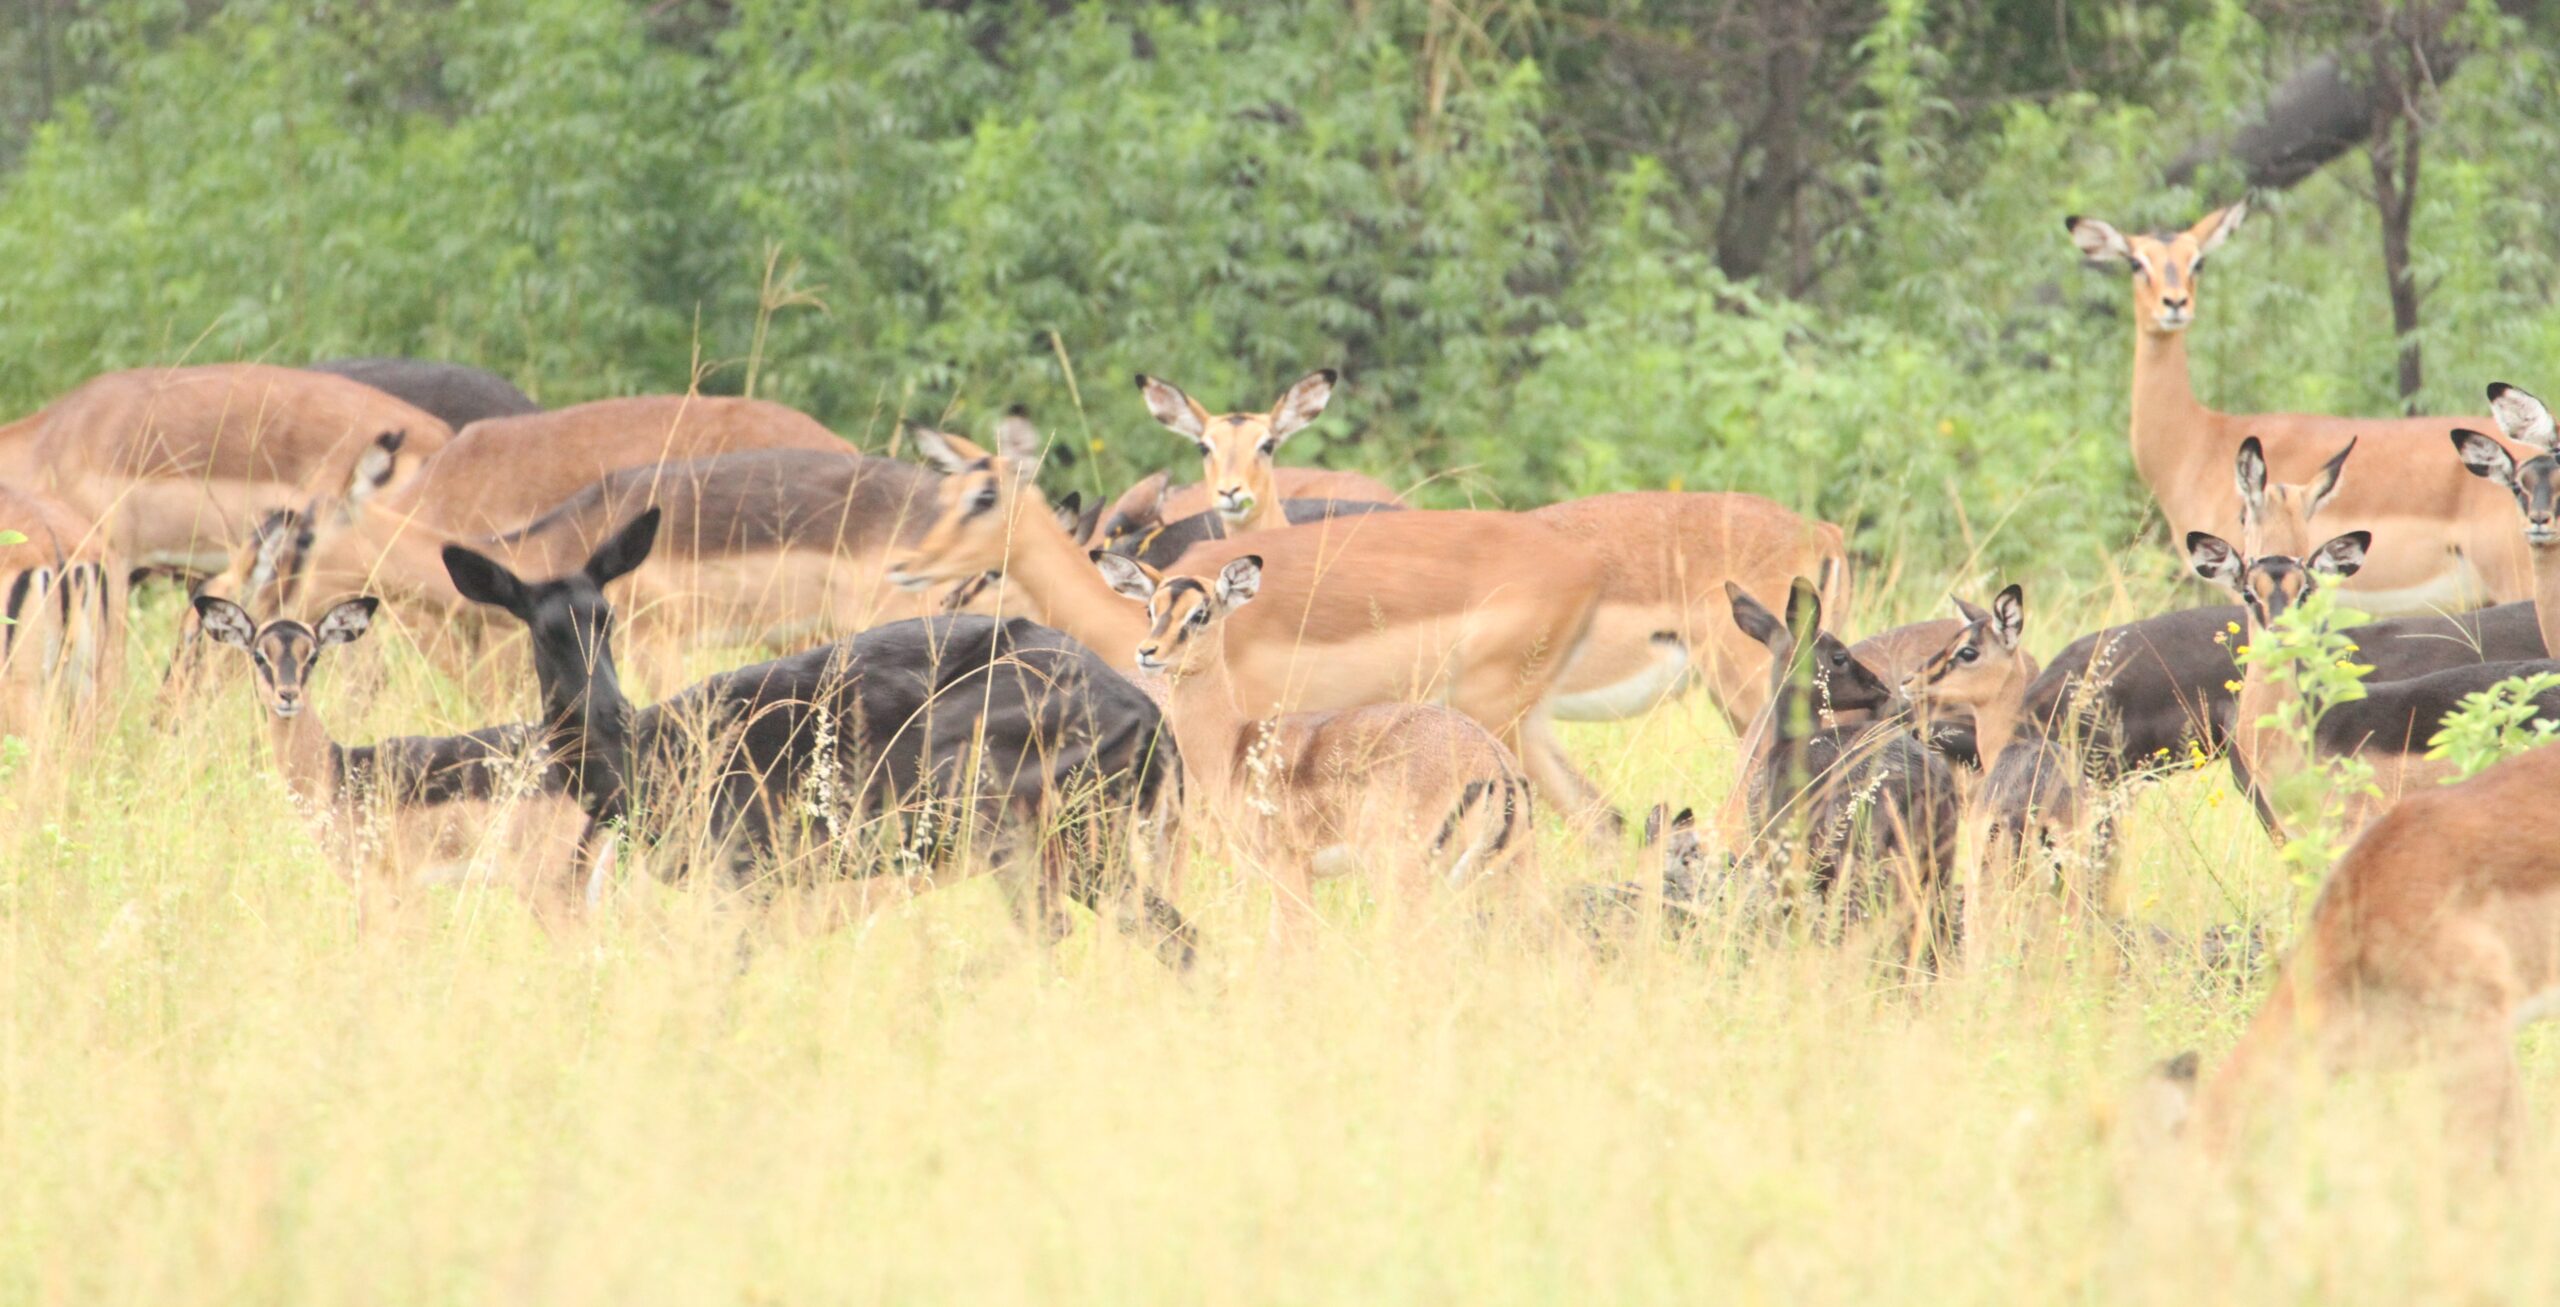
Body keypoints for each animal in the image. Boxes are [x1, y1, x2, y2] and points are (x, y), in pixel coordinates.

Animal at [189, 594, 596, 928]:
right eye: (259, 655)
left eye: (313, 655)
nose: (288, 696)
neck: (338, 771)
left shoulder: (384, 888)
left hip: (547, 886)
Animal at [441, 509, 1198, 966]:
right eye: (543, 628)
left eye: (606, 615)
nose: (595, 700)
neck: (648, 759)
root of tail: (1154, 725)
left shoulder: (745, 861)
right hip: (1080, 837)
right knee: (1175, 935)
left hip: (1003, 807)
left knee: (1064, 931)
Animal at [883, 428, 1616, 831]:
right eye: (943, 491)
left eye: (982, 497)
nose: (905, 567)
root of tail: (1586, 567)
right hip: (1526, 725)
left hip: (1497, 717)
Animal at [1094, 551, 1532, 938]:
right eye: (1150, 610)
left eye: (1200, 613)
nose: (1147, 653)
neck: (1236, 746)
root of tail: (1495, 766)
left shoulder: (1288, 870)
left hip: (1401, 875)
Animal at [1728, 578, 1959, 969]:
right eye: (1840, 656)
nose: (1885, 690)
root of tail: (1924, 786)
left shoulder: (1777, 855)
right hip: (1939, 860)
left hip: (1861, 859)